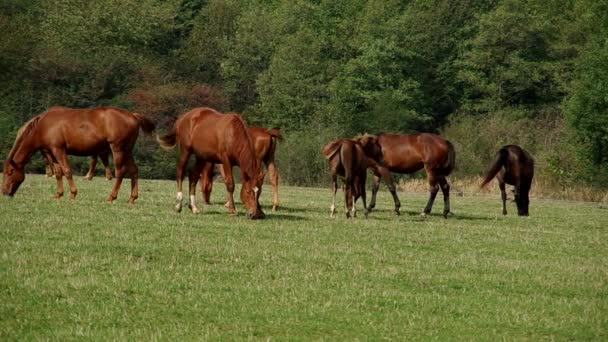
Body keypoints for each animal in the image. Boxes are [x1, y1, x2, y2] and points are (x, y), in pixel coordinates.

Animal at [2, 106, 154, 203]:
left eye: (10, 172)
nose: (3, 192)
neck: (42, 127)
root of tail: (133, 115)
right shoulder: (50, 152)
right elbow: (58, 173)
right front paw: (58, 194)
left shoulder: (58, 150)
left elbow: (67, 171)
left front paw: (73, 194)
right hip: (127, 150)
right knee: (134, 171)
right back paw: (132, 198)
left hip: (118, 149)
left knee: (120, 172)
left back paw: (111, 196)